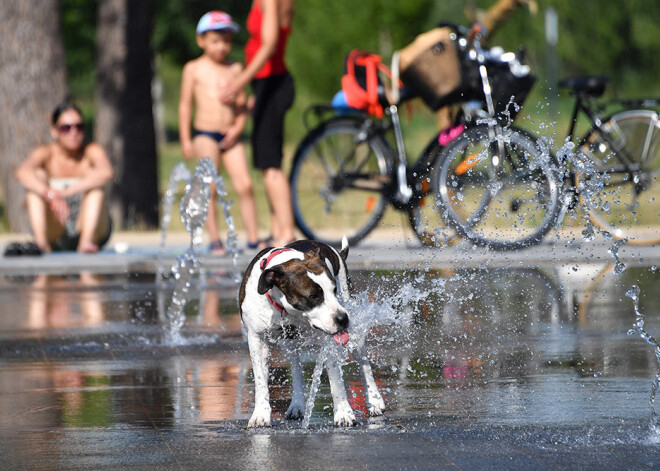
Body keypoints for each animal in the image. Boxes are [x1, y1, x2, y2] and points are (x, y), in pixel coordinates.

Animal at [237, 240, 384, 428]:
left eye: (333, 290)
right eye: (313, 296)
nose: (343, 319)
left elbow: (336, 378)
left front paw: (343, 412)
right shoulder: (257, 339)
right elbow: (261, 381)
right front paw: (260, 414)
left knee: (363, 362)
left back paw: (374, 400)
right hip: (288, 343)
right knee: (296, 369)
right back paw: (297, 405)